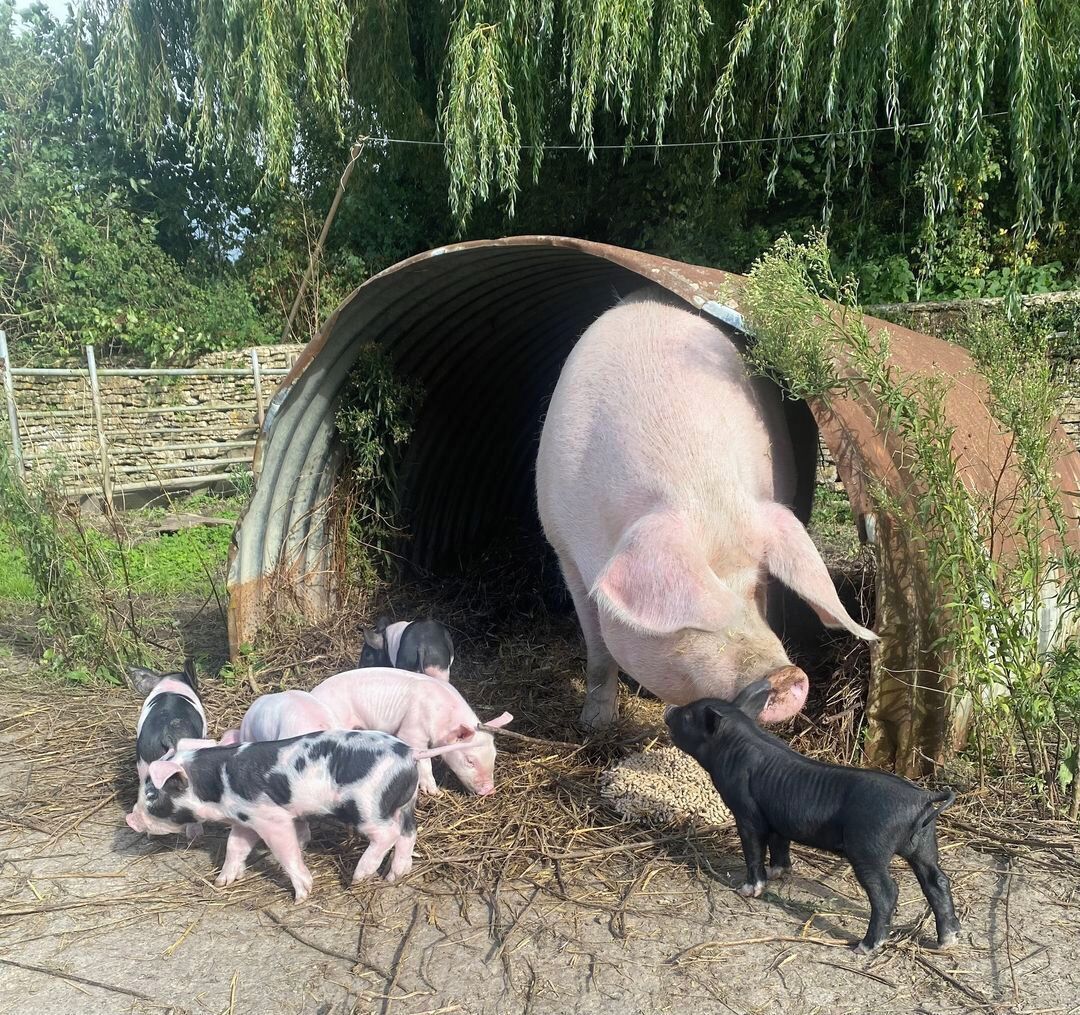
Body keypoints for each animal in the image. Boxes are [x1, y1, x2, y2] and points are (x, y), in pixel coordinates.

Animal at [124, 731, 476, 899]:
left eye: (153, 795)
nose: (130, 819)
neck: (217, 786)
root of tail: (410, 753)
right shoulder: (245, 819)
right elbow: (235, 847)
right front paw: (223, 882)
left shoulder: (270, 818)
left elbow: (286, 851)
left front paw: (301, 895)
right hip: (404, 802)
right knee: (408, 832)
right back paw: (394, 875)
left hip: (367, 807)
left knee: (387, 834)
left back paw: (358, 877)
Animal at [310, 668, 512, 796]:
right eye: (470, 760)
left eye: (494, 756)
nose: (490, 791)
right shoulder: (412, 729)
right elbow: (424, 760)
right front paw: (434, 792)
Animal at [535, 290, 878, 727]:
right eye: (697, 614)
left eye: (757, 584)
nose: (786, 677)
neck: (701, 489)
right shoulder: (564, 547)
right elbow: (597, 649)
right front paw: (595, 724)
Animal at [665, 683, 961, 953]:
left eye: (688, 716)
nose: (669, 709)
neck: (732, 746)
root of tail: (920, 798)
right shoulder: (777, 818)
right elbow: (779, 844)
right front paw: (778, 873)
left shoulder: (747, 813)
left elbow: (752, 851)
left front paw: (746, 890)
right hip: (924, 844)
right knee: (937, 880)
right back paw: (948, 940)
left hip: (869, 848)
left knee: (887, 893)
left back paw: (864, 947)